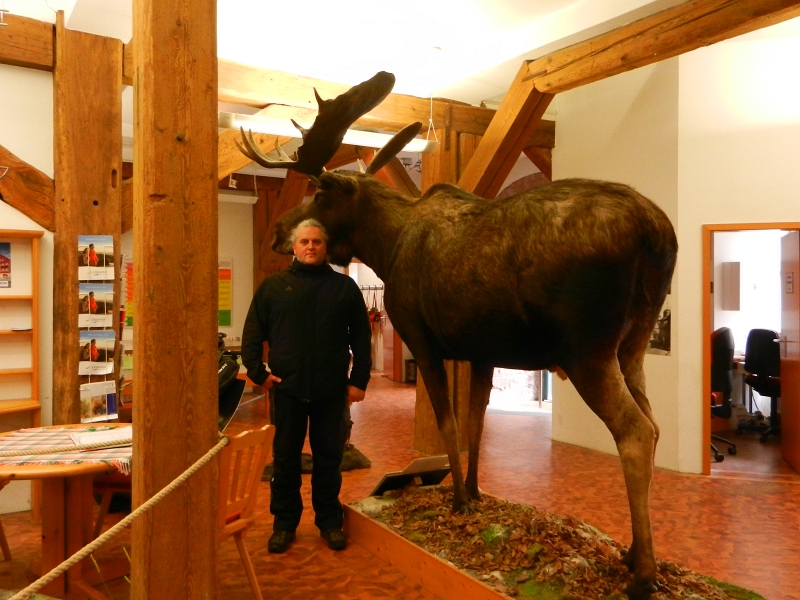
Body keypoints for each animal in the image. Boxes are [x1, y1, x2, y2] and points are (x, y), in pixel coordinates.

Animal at [238, 70, 676, 596]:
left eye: (320, 192)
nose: (279, 232)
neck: (386, 246)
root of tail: (658, 231)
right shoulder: (481, 351)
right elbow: (475, 425)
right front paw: (475, 491)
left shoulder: (424, 339)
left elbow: (447, 422)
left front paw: (459, 501)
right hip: (633, 346)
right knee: (654, 424)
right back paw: (633, 552)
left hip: (587, 351)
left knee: (635, 431)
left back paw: (644, 572)